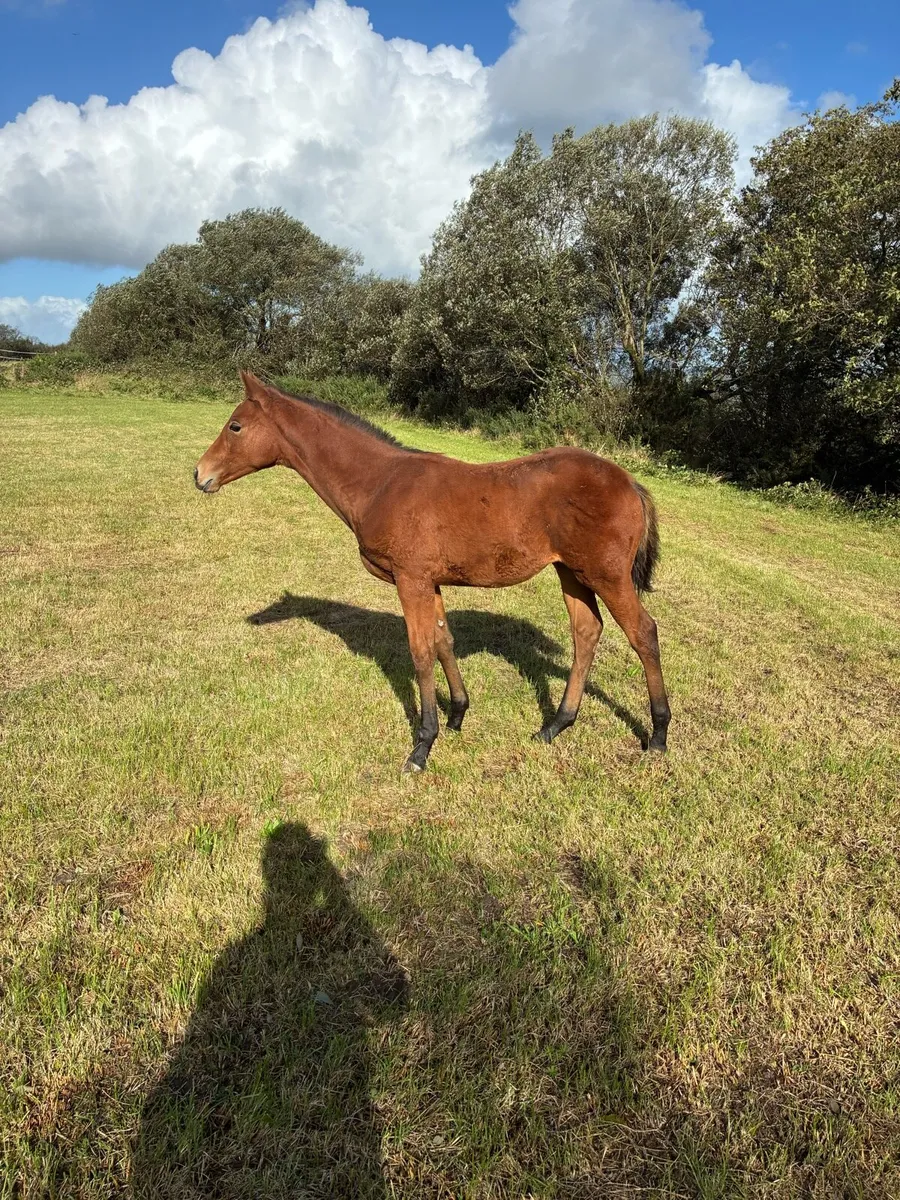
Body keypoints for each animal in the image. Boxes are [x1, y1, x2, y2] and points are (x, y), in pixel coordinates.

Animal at [195, 372, 670, 772]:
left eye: (235, 426)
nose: (200, 474)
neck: (380, 483)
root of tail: (630, 483)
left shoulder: (411, 580)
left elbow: (421, 651)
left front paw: (422, 745)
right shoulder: (431, 581)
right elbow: (444, 641)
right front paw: (458, 713)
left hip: (606, 575)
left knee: (643, 632)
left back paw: (659, 735)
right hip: (570, 573)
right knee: (586, 632)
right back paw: (555, 725)